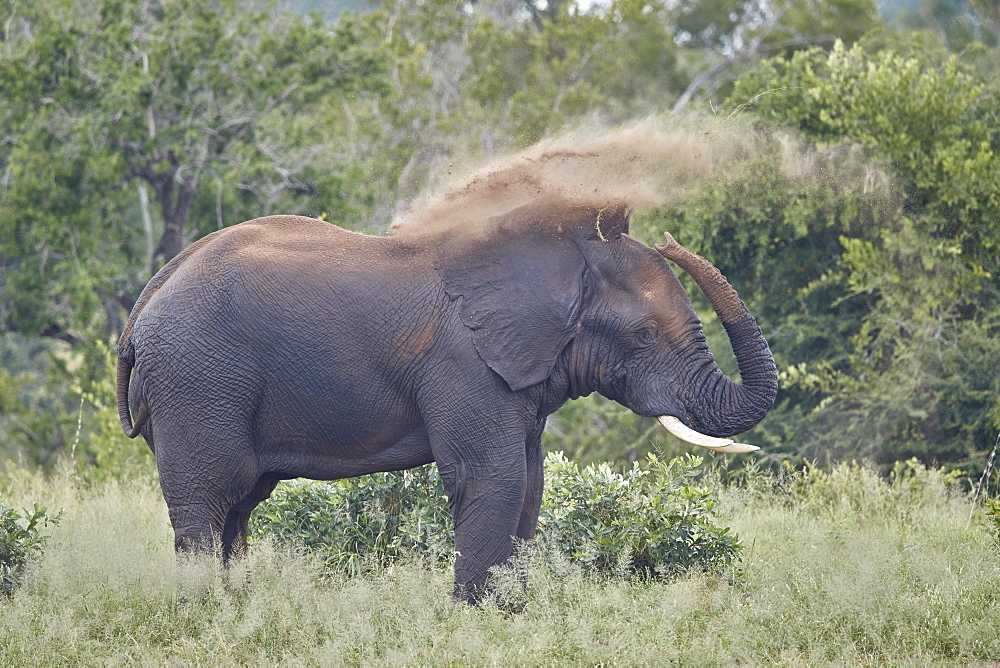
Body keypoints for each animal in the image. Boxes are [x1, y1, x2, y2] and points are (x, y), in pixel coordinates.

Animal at [115, 197, 772, 600]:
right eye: (642, 335)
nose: (672, 238)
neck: (560, 260)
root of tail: (143, 307)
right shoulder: (466, 364)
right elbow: (493, 477)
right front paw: (477, 625)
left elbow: (529, 484)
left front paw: (511, 620)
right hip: (198, 383)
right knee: (209, 500)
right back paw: (206, 613)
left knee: (239, 504)